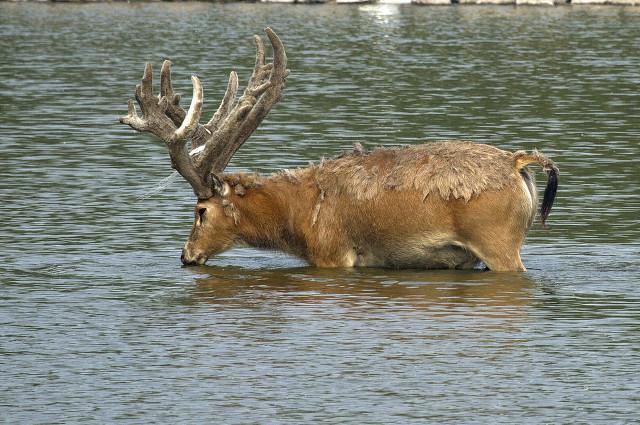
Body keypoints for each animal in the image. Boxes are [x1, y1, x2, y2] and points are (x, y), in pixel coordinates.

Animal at [119, 27, 556, 272]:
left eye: (201, 211)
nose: (186, 255)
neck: (295, 219)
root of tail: (520, 162)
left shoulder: (332, 253)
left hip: (498, 239)